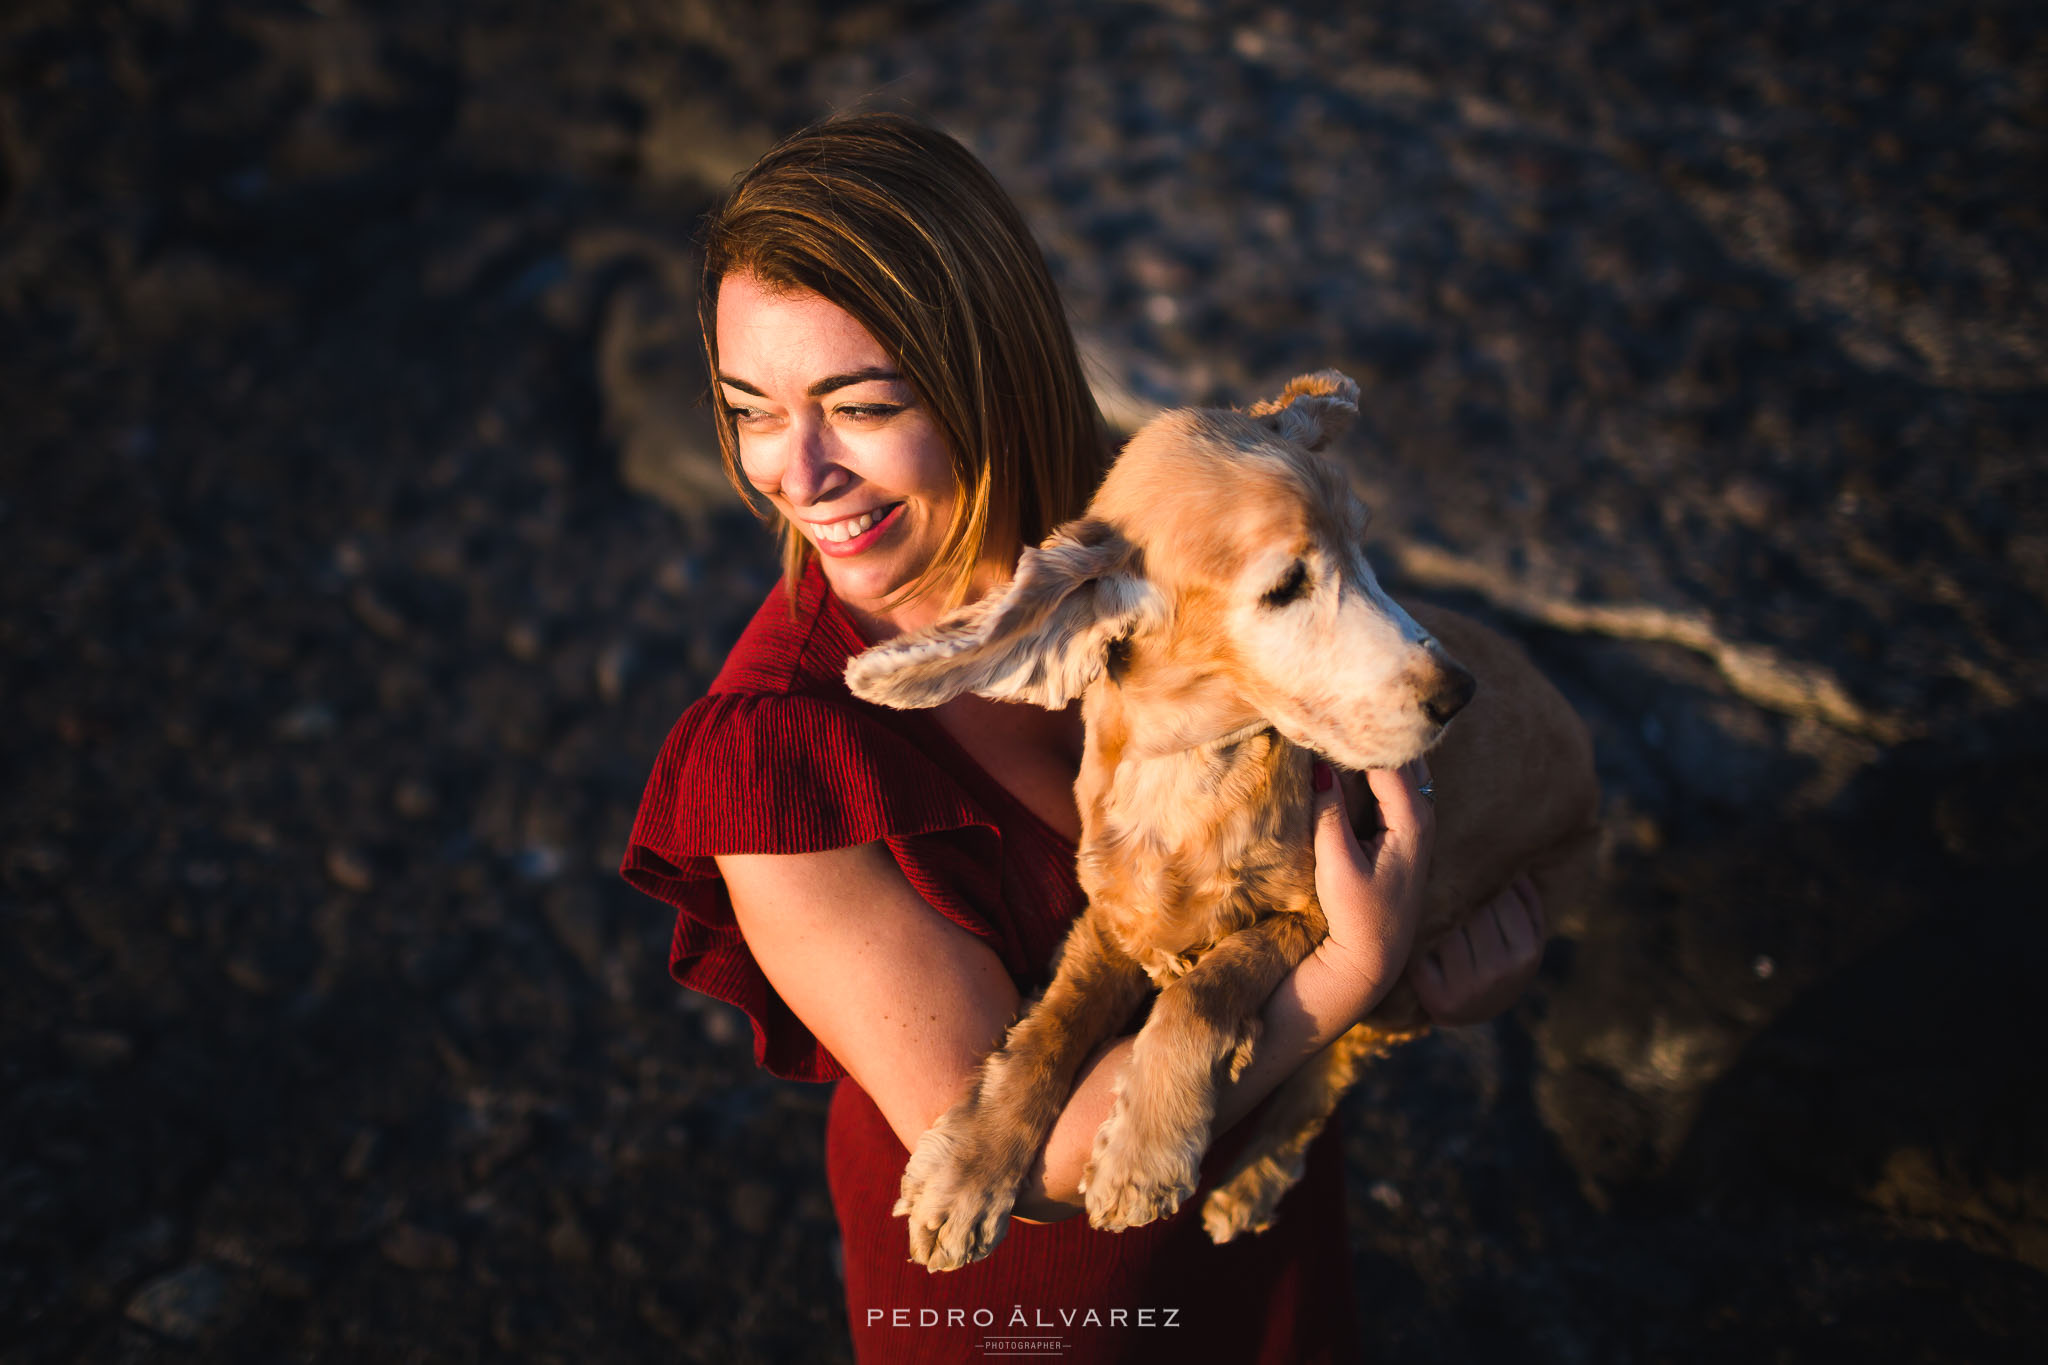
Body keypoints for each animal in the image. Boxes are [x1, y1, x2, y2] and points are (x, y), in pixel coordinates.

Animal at [839, 370, 1589, 1268]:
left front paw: (1142, 1154)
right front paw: (969, 1172)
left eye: (1364, 546)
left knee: (1327, 1073)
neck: (1188, 772)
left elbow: (1207, 987)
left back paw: (1251, 1181)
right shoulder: (1115, 916)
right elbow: (1052, 1025)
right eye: (1285, 587)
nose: (1456, 694)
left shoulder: (1321, 912)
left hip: (1417, 966)